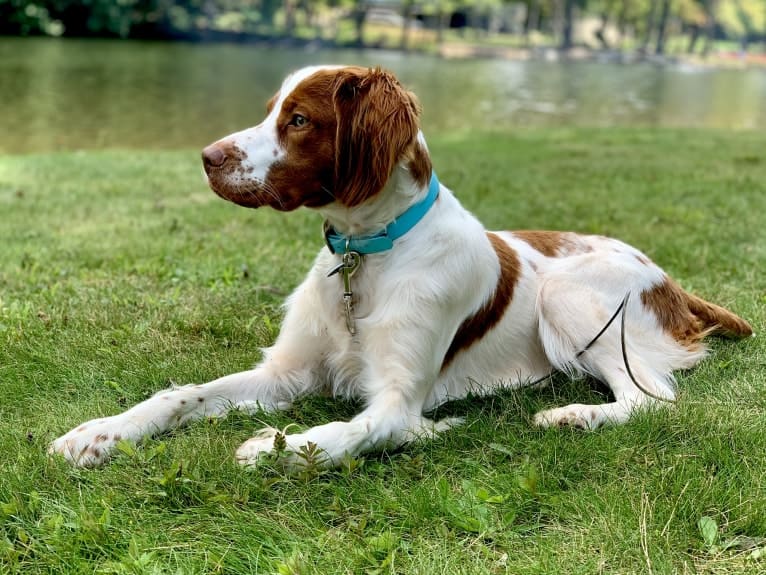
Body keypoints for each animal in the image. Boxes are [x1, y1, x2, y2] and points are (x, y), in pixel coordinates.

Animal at [49, 65, 756, 470]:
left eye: (298, 119)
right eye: (270, 109)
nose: (205, 156)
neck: (366, 255)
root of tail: (671, 281)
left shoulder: (395, 400)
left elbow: (346, 433)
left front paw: (272, 446)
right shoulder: (286, 373)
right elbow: (179, 395)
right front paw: (100, 433)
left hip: (566, 295)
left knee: (652, 398)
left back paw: (573, 415)